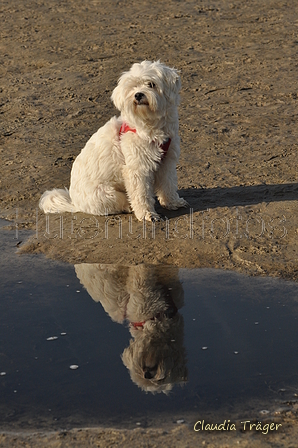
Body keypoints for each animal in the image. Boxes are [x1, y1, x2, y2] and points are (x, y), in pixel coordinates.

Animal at [39, 60, 187, 221]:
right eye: (132, 87)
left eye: (151, 84)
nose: (138, 95)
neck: (150, 124)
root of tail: (74, 203)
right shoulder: (137, 170)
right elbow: (141, 194)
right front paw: (147, 214)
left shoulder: (167, 162)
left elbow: (168, 184)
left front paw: (172, 202)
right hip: (108, 195)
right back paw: (129, 207)